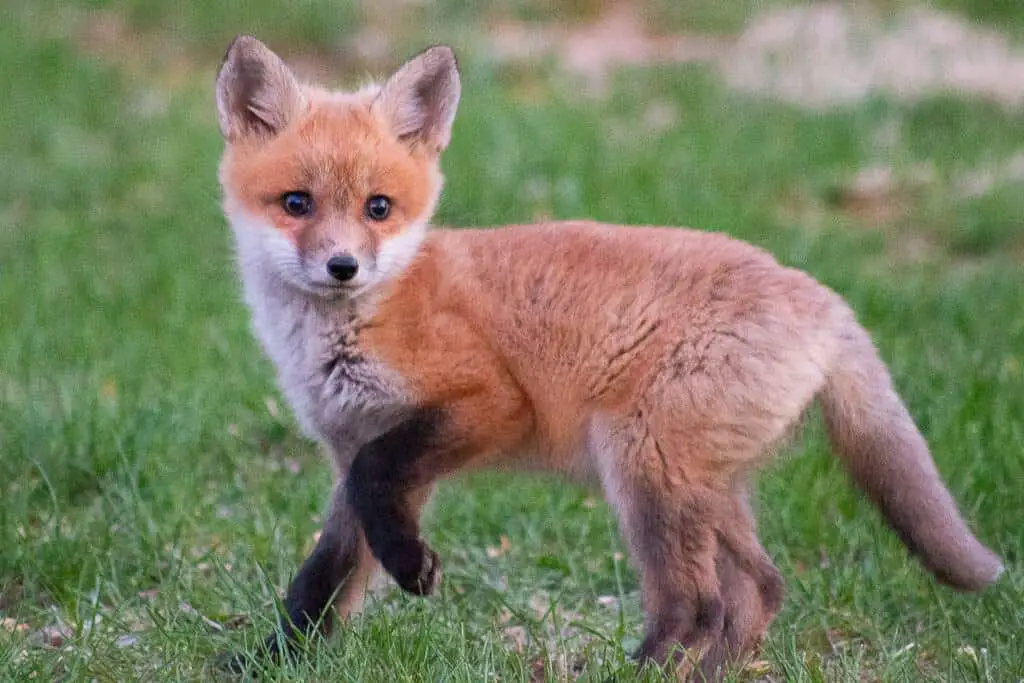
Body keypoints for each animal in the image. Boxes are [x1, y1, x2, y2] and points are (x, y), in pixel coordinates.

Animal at [211, 36, 1003, 679]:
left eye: (379, 208)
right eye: (296, 203)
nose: (343, 267)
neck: (362, 322)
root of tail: (825, 300)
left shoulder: (484, 404)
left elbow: (377, 497)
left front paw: (413, 569)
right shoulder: (349, 448)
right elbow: (324, 576)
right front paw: (273, 660)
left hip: (644, 468)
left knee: (697, 605)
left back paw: (641, 671)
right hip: (706, 486)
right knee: (759, 588)